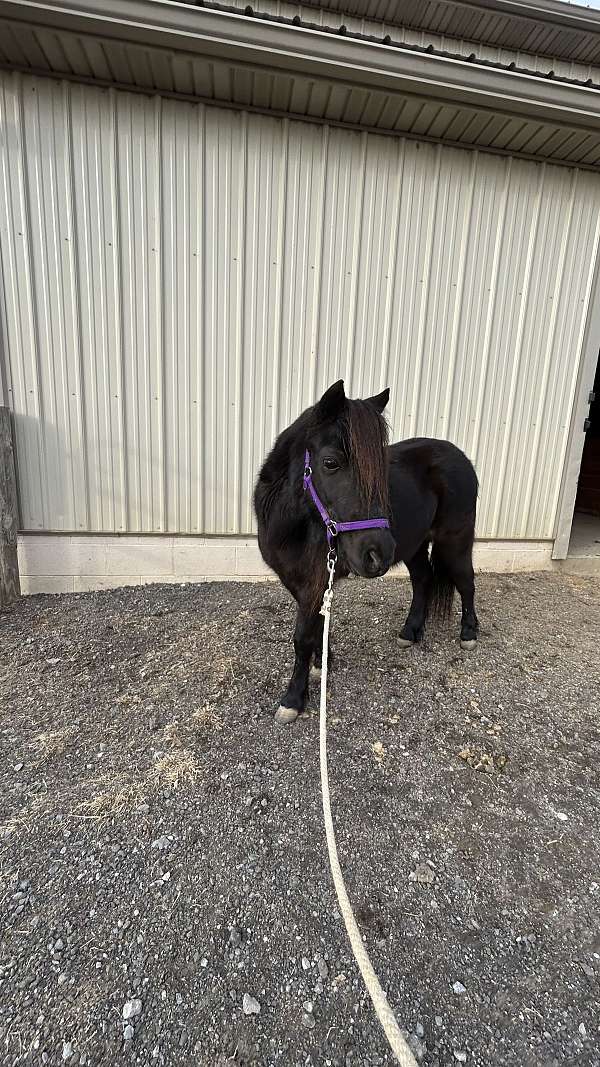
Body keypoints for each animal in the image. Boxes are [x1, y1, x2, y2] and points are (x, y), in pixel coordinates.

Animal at [251, 379, 476, 721]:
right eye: (330, 463)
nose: (377, 553)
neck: (292, 524)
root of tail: (460, 457)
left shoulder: (315, 581)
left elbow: (302, 637)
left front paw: (293, 699)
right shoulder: (301, 581)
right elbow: (317, 626)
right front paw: (322, 664)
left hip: (455, 542)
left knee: (466, 582)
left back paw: (469, 634)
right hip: (414, 547)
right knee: (423, 580)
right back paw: (410, 632)